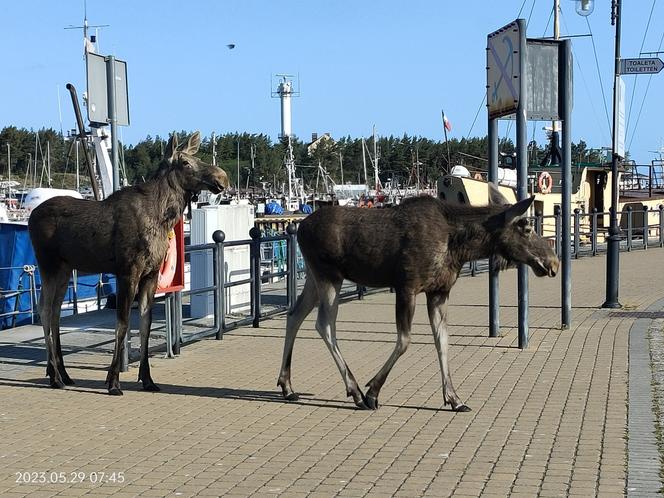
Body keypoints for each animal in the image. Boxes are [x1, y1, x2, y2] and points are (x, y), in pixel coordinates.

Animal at [28, 130, 230, 394]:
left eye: (197, 158)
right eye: (185, 162)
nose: (222, 178)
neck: (161, 217)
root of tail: (30, 216)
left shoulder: (151, 274)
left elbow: (145, 324)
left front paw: (148, 379)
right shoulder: (127, 271)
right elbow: (123, 324)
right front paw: (113, 381)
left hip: (64, 268)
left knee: (54, 313)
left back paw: (62, 373)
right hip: (48, 264)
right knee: (43, 309)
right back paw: (54, 377)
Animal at [278, 185, 556, 410]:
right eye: (527, 228)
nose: (553, 262)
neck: (460, 247)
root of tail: (299, 228)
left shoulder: (439, 291)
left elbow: (442, 341)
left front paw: (454, 398)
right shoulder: (407, 286)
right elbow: (404, 340)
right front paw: (373, 391)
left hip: (314, 277)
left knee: (294, 314)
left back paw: (287, 386)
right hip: (329, 276)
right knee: (324, 324)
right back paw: (355, 391)